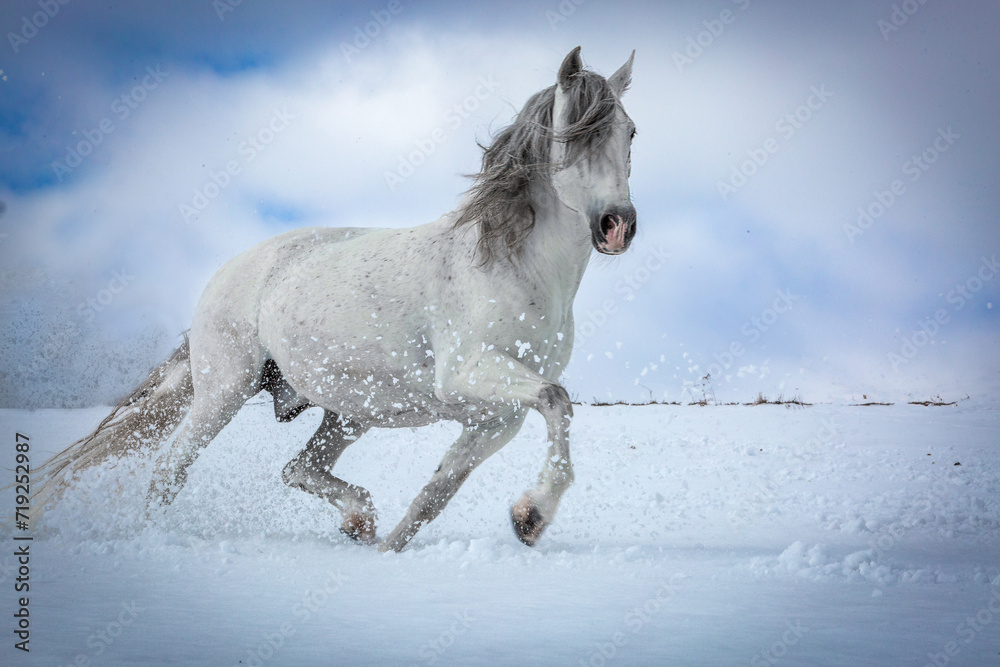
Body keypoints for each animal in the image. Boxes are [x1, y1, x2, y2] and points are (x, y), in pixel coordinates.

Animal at [37, 45, 640, 552]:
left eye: (630, 132)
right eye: (575, 132)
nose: (617, 226)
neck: (515, 267)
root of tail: (230, 273)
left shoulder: (496, 418)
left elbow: (437, 493)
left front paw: (401, 547)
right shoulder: (470, 374)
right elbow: (557, 400)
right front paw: (532, 517)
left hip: (351, 414)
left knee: (296, 468)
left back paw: (360, 521)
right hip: (224, 392)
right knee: (171, 468)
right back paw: (152, 543)